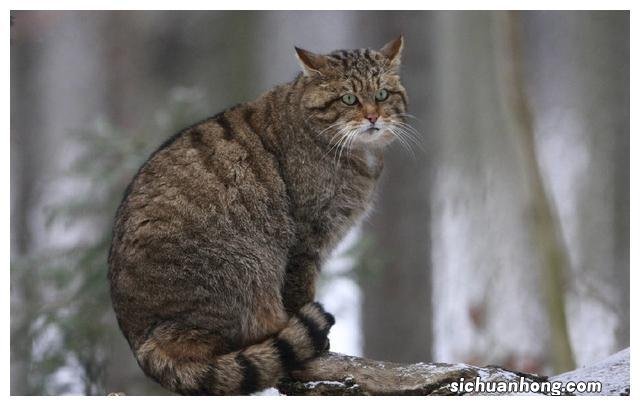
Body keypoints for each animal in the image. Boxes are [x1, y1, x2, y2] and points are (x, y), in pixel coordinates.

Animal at [107, 36, 408, 394]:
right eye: (349, 98)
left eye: (382, 94)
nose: (373, 117)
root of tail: (140, 343)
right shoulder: (306, 238)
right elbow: (300, 290)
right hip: (244, 265)